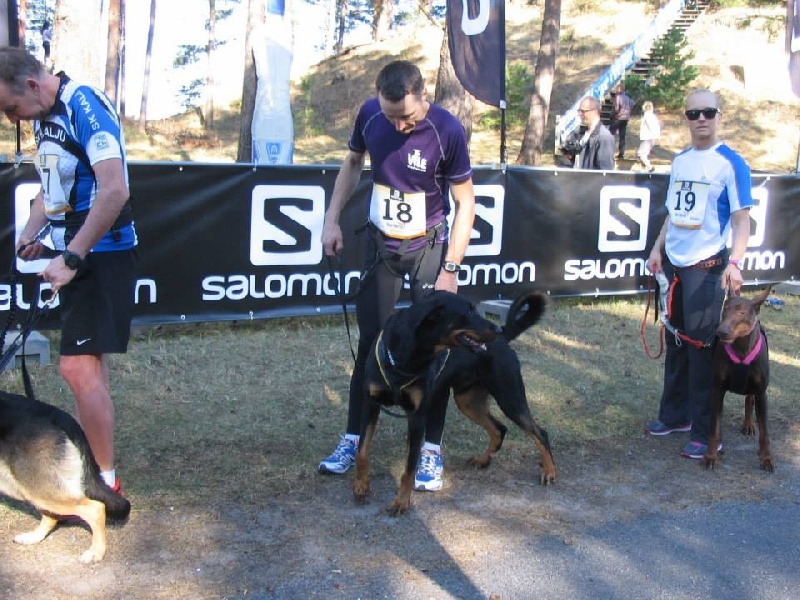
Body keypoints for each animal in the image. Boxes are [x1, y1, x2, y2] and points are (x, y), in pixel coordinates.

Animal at [0, 390, 130, 564]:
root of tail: (55, 414)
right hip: (27, 485)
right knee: (51, 516)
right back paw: (34, 537)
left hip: (34, 485)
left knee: (95, 508)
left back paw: (96, 551)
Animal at [354, 290, 552, 516]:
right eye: (468, 311)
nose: (497, 329)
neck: (407, 356)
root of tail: (505, 339)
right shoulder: (370, 404)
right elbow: (362, 451)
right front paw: (361, 485)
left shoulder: (417, 417)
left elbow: (410, 468)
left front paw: (401, 502)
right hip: (468, 401)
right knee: (499, 429)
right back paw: (483, 460)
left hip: (509, 396)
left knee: (540, 433)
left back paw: (549, 471)